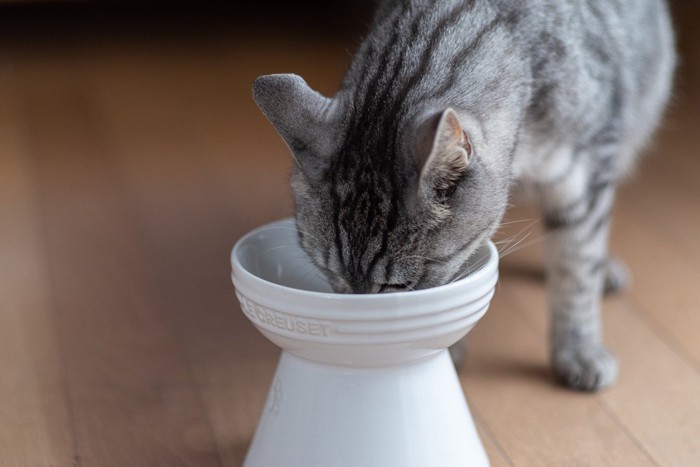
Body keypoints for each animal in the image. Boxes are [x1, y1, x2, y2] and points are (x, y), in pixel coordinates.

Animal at [252, 0, 672, 394]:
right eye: (332, 275)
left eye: (396, 288)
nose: (359, 320)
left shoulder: (587, 172)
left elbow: (577, 269)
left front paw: (578, 351)